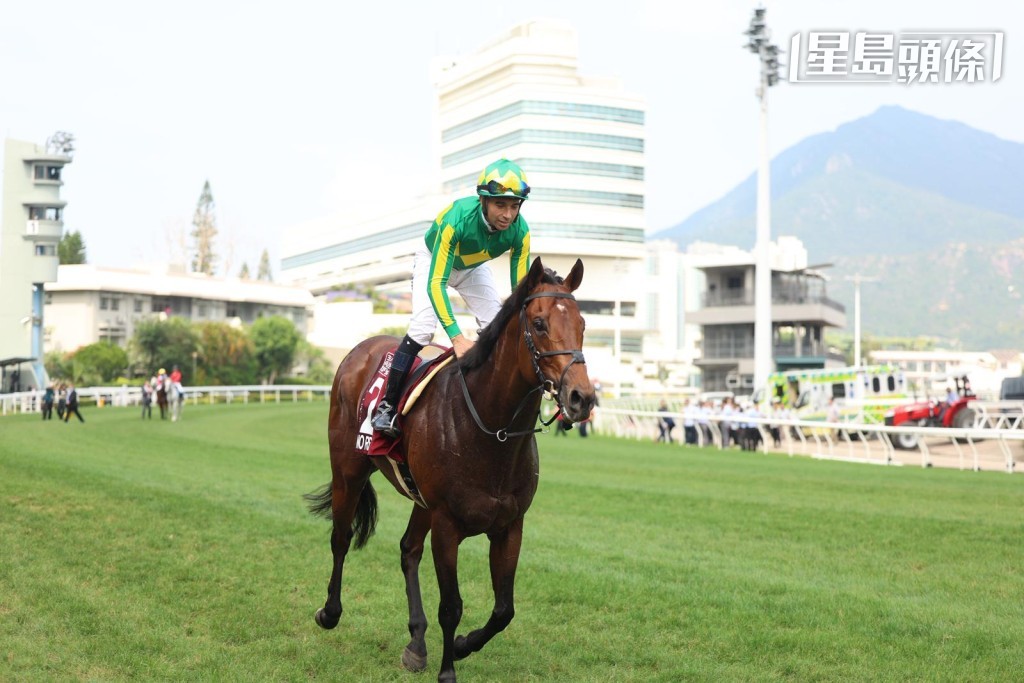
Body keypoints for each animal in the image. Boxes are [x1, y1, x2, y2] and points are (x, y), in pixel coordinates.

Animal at [305, 257, 595, 682]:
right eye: (540, 323)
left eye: (583, 324)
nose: (581, 397)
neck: (493, 431)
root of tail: (358, 350)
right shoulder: (447, 524)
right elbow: (451, 606)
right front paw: (448, 670)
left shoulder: (510, 525)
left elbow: (504, 609)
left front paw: (460, 646)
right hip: (348, 472)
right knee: (341, 538)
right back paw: (330, 612)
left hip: (419, 497)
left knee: (408, 549)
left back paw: (416, 642)